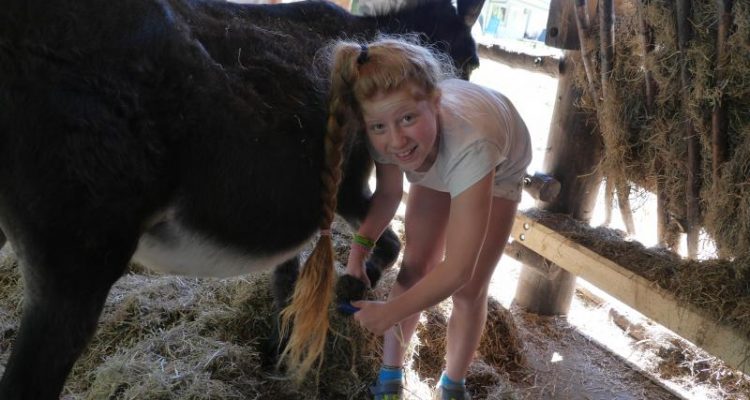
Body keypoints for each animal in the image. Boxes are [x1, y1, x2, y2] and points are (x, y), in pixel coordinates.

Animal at [0, 0, 484, 398]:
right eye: (473, 61)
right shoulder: (349, 186)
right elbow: (388, 244)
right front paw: (350, 291)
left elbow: (285, 278)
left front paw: (281, 347)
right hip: (81, 250)